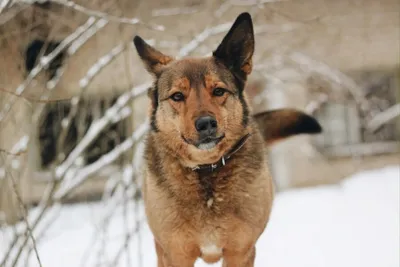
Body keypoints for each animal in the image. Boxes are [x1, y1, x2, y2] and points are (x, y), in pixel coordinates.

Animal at [133, 11, 320, 266]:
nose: (206, 124)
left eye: (219, 91)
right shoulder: (175, 254)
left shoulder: (240, 252)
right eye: (177, 96)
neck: (206, 172)